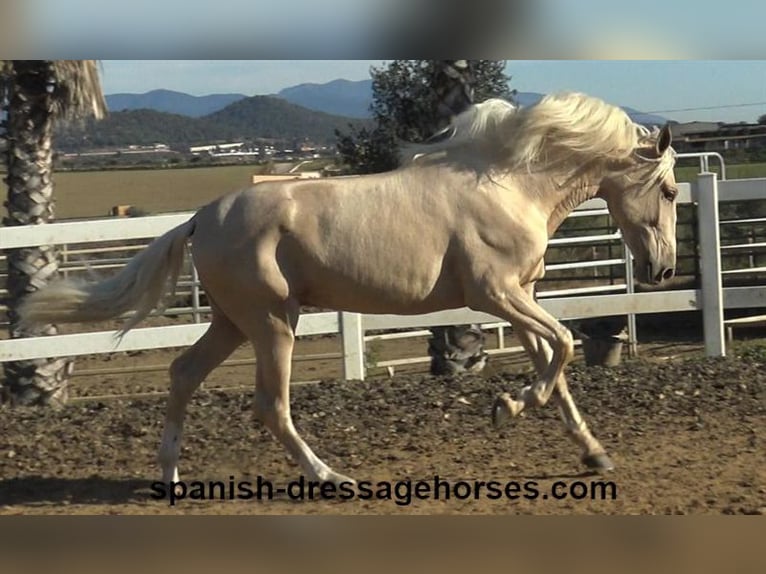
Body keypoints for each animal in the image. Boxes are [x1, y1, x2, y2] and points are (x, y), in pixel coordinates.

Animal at [18, 92, 680, 488]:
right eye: (672, 191)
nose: (664, 271)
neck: (509, 184)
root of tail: (201, 218)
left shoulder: (521, 299)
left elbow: (556, 363)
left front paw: (588, 449)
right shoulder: (495, 295)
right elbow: (564, 346)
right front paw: (508, 406)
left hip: (233, 322)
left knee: (183, 374)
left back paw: (170, 477)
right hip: (272, 323)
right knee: (270, 405)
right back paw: (328, 476)